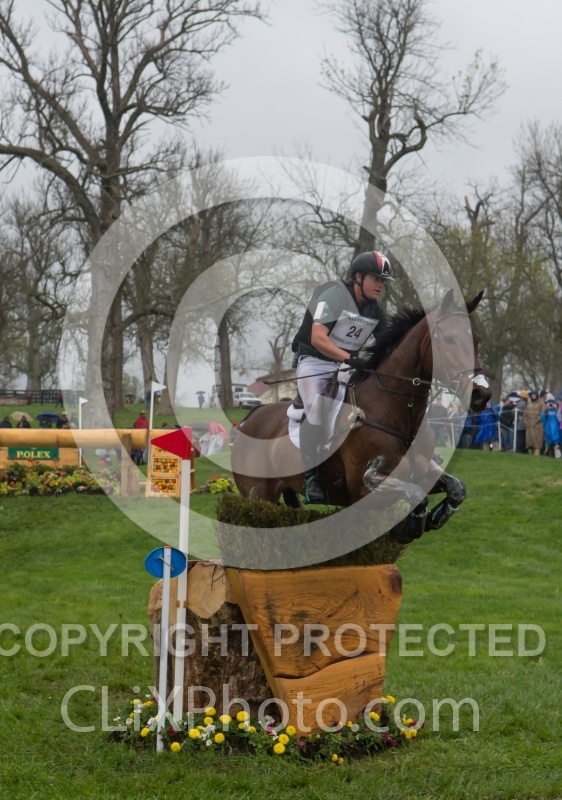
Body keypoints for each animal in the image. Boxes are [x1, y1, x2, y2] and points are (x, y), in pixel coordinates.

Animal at [231, 290, 492, 539]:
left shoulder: (423, 470)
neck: (397, 413)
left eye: (477, 340)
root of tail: (249, 419)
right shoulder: (364, 486)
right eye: (449, 339)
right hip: (258, 494)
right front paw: (410, 527)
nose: (482, 394)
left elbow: (457, 489)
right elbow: (417, 494)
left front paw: (435, 517)